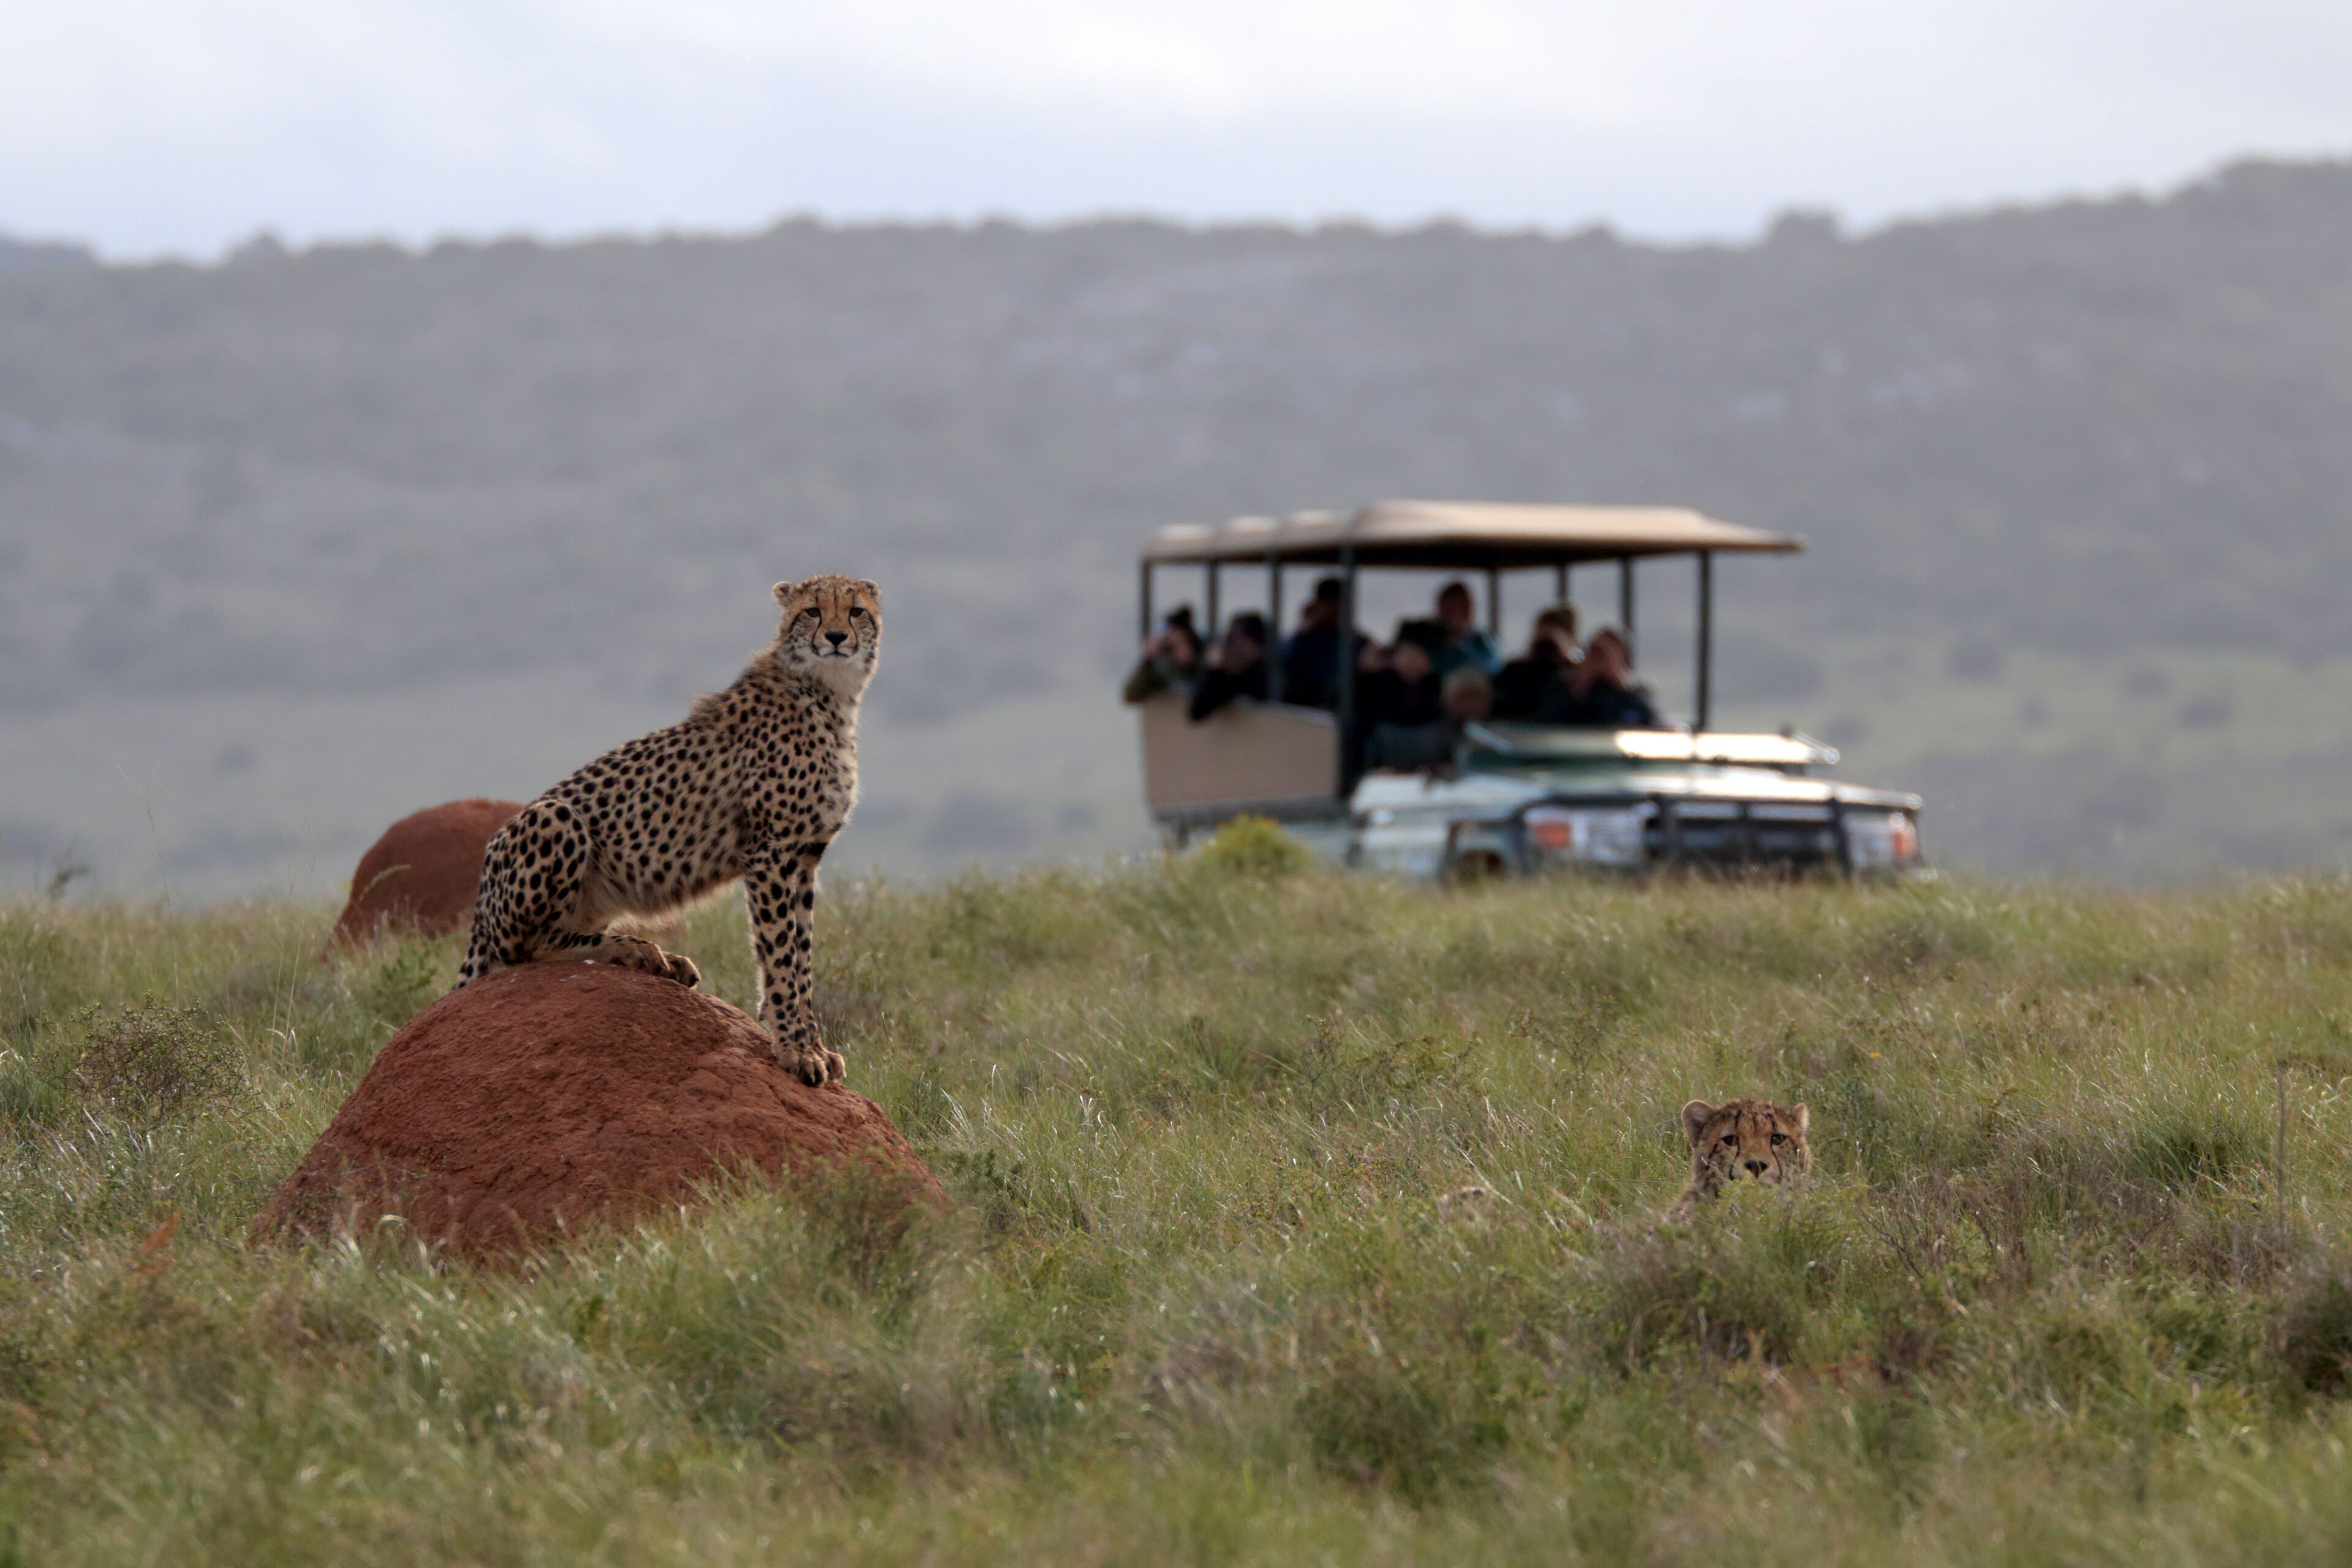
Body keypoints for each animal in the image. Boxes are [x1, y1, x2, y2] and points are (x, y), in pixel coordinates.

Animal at [452, 575, 880, 1086]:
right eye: (813, 611)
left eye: (856, 611)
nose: (835, 638)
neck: (829, 694)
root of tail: (479, 907)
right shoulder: (772, 852)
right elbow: (780, 954)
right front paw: (795, 1047)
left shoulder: (805, 856)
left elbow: (802, 957)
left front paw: (812, 1044)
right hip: (557, 818)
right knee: (524, 948)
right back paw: (635, 949)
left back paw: (659, 959)